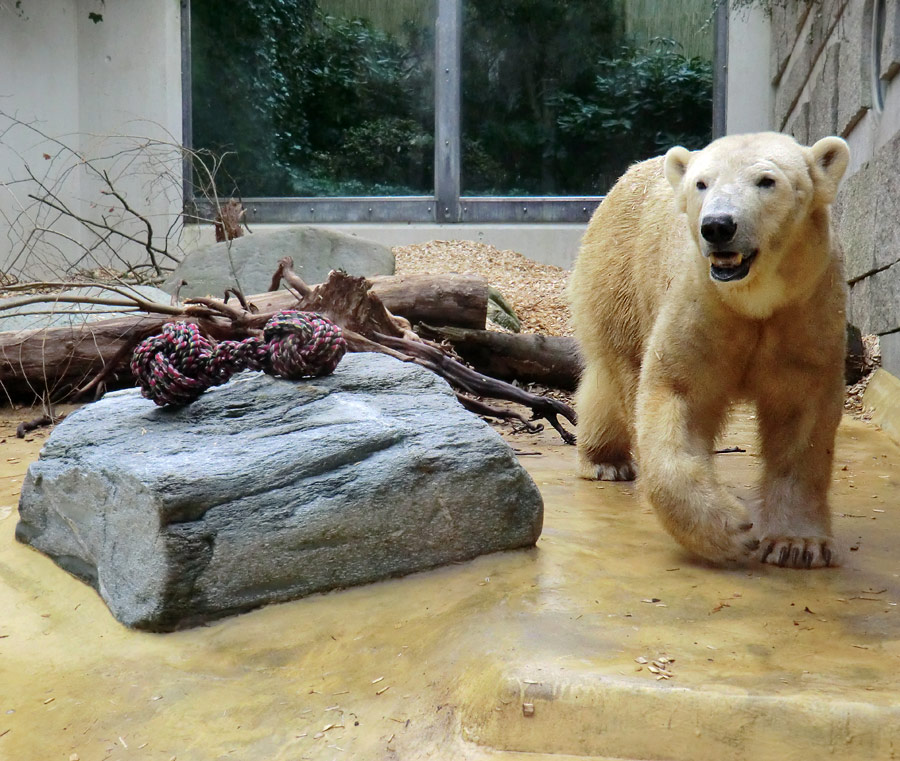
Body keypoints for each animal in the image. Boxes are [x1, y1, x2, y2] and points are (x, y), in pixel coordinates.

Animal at [568, 131, 852, 568]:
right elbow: (676, 394)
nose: (717, 226)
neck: (752, 301)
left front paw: (797, 545)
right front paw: (729, 529)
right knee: (620, 373)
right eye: (702, 183)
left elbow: (802, 420)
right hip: (618, 278)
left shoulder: (805, 312)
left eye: (766, 181)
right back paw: (606, 462)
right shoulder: (702, 304)